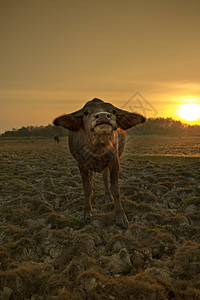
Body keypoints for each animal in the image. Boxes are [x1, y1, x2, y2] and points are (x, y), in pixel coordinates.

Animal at [53, 98, 145, 227]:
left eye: (113, 111)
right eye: (86, 112)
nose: (103, 116)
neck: (98, 147)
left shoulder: (114, 161)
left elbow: (115, 189)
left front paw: (120, 216)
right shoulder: (82, 164)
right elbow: (86, 188)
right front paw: (86, 212)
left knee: (105, 178)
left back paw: (107, 196)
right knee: (91, 179)